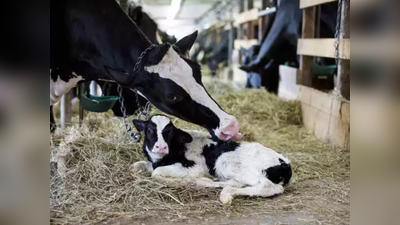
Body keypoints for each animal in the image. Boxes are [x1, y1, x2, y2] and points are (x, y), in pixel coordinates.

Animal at [133, 115, 292, 205]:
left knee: (268, 186)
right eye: (149, 130)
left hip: (226, 161)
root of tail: (285, 163)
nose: (161, 147)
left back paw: (225, 193)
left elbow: (156, 173)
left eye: (170, 133)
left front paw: (182, 181)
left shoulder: (195, 167)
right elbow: (139, 165)